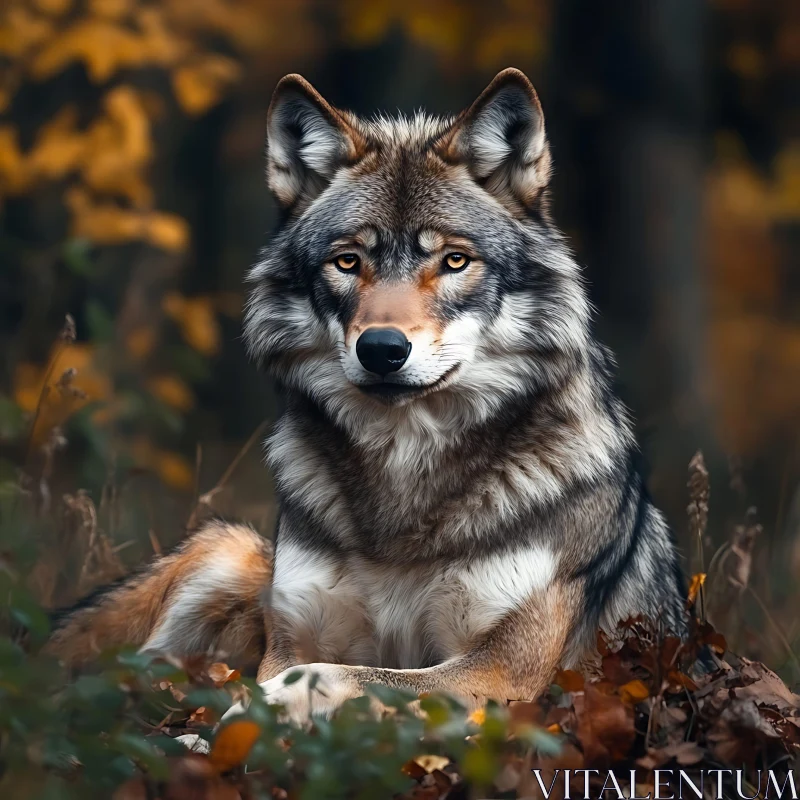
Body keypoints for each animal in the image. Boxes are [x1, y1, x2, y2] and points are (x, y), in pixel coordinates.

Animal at [47, 69, 684, 720]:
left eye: (455, 261)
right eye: (348, 261)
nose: (381, 348)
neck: (403, 473)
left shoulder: (506, 673)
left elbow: (348, 675)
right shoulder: (292, 634)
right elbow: (311, 669)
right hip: (223, 547)